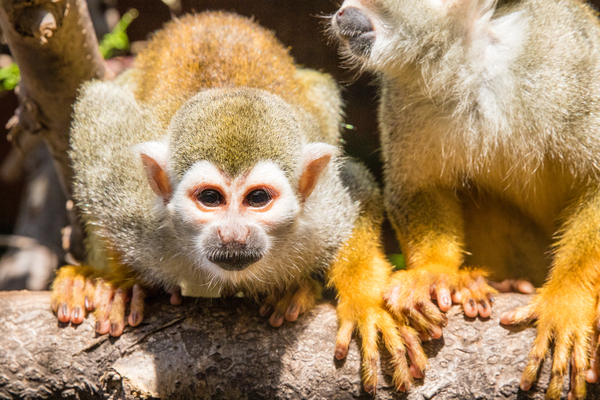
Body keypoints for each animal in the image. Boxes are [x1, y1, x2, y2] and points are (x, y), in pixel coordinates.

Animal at [50, 12, 426, 394]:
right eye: (210, 198)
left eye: (258, 198)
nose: (233, 235)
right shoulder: (132, 208)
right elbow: (97, 127)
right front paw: (121, 284)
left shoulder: (322, 210)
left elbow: (358, 187)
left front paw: (364, 302)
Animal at [332, 0, 600, 398]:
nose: (342, 12)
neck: (474, 59)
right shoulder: (403, 91)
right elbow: (416, 187)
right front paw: (434, 273)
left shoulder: (572, 57)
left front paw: (568, 301)